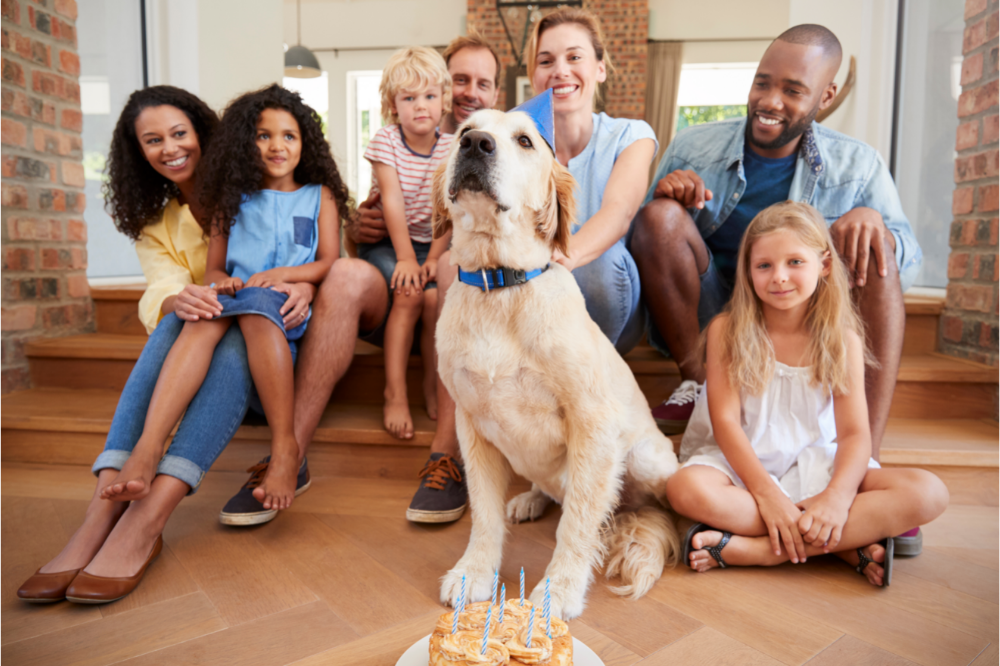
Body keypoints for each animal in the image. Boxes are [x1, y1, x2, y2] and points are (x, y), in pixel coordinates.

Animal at [434, 109, 684, 616]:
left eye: (525, 141)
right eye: (465, 128)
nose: (476, 144)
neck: (499, 286)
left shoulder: (592, 422)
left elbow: (578, 523)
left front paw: (560, 588)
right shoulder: (473, 426)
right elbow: (484, 514)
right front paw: (474, 572)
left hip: (648, 459)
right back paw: (531, 499)